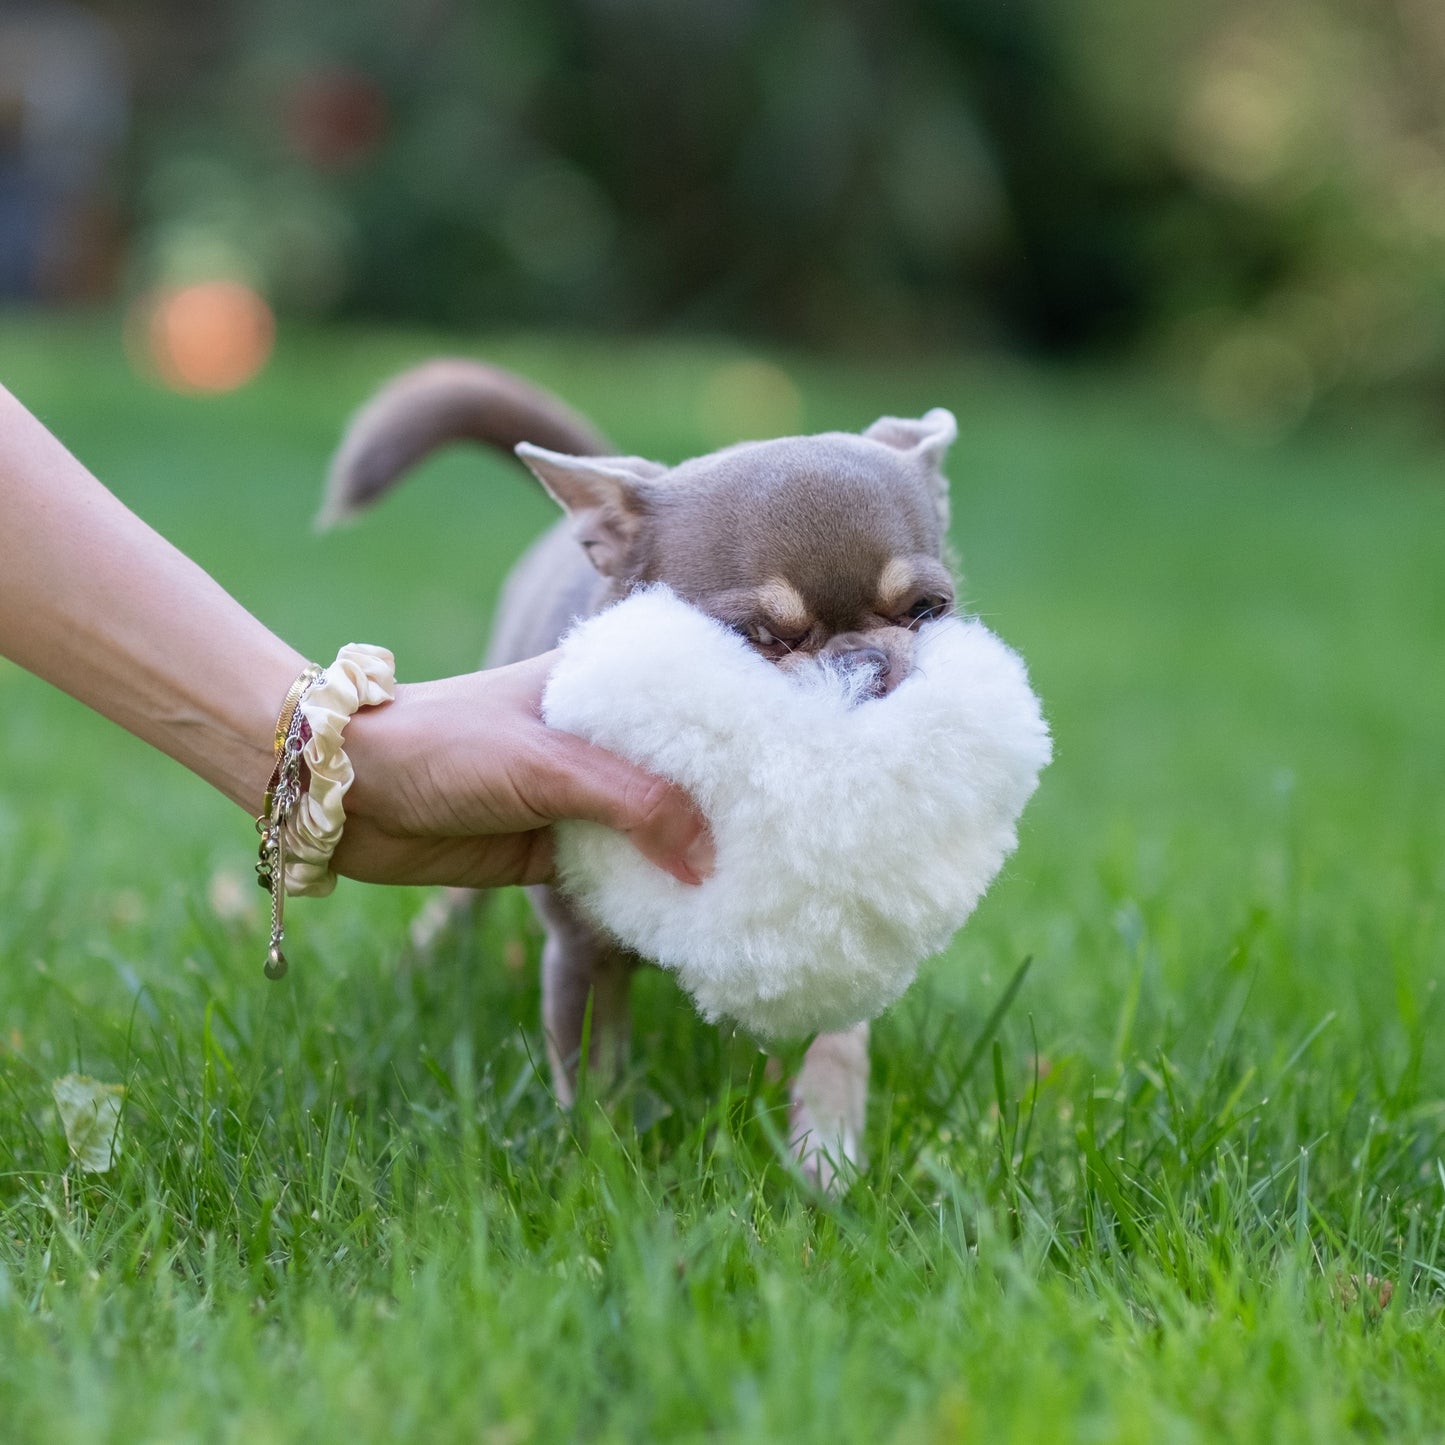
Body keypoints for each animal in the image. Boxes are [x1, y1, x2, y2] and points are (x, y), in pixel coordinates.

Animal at [326, 361, 959, 1184]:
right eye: (755, 637)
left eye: (927, 609)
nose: (864, 662)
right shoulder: (583, 956)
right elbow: (593, 1075)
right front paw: (601, 1171)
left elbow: (837, 1048)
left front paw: (827, 1151)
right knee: (458, 903)